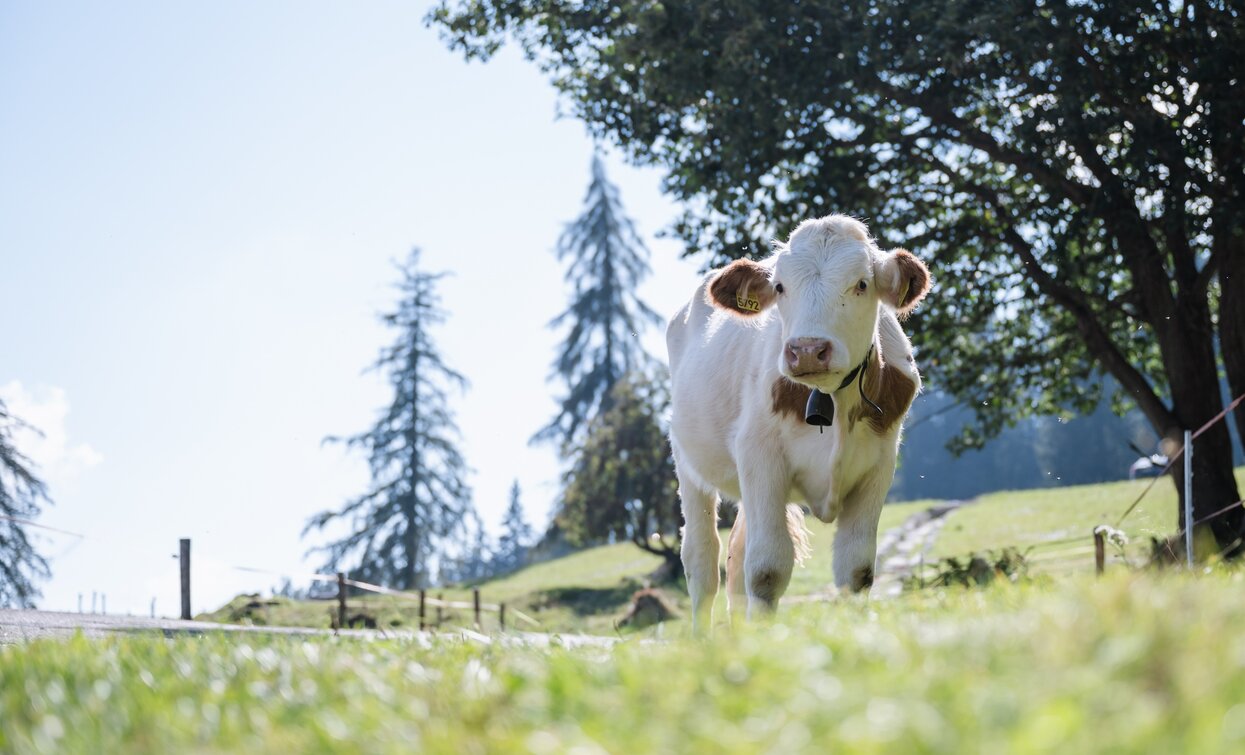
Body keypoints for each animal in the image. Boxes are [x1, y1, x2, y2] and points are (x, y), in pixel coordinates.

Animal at [667, 214, 931, 632]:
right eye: (779, 286)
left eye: (861, 283)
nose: (807, 350)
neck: (831, 400)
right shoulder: (760, 459)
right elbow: (767, 570)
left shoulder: (879, 466)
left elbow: (856, 570)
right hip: (688, 463)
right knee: (702, 558)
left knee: (736, 560)